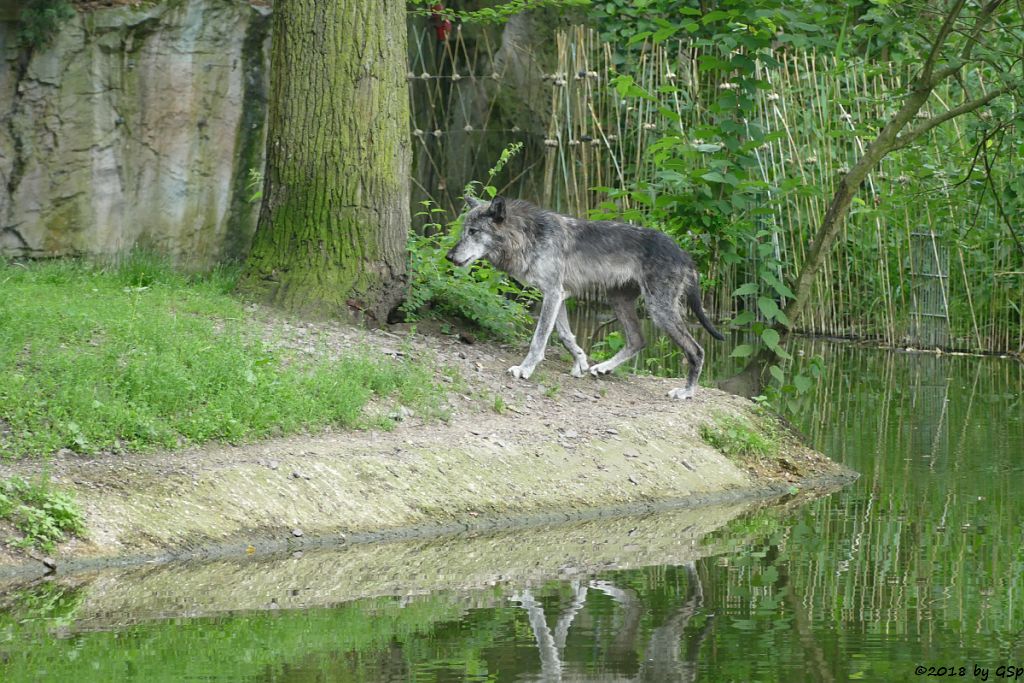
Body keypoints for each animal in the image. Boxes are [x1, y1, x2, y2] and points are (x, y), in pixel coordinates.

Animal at [444, 197, 724, 397]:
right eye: (463, 231)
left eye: (473, 231)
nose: (449, 256)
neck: (530, 236)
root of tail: (684, 254)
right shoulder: (557, 295)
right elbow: (566, 336)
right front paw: (580, 362)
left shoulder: (553, 294)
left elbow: (539, 339)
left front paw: (525, 369)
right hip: (620, 301)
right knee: (638, 340)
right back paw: (604, 367)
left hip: (659, 311)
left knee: (696, 350)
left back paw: (686, 392)